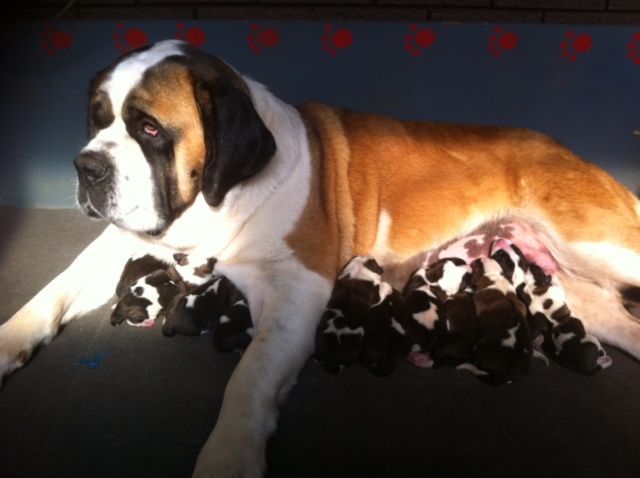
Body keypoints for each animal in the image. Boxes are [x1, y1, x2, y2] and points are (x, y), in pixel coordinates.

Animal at [2, 39, 640, 475]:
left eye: (150, 129)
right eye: (97, 119)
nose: (85, 166)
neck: (217, 199)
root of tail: (566, 150)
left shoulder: (298, 292)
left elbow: (248, 376)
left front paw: (228, 454)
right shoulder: (123, 242)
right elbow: (56, 286)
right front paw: (11, 340)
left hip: (599, 243)